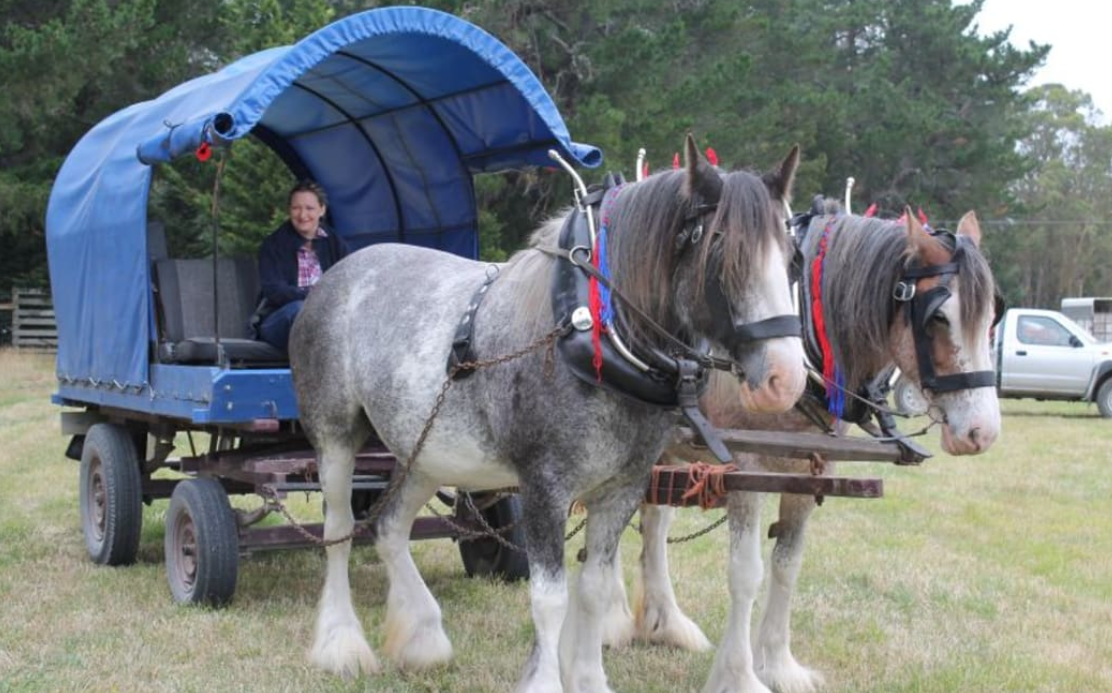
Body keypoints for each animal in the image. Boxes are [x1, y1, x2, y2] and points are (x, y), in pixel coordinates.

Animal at [291, 136, 805, 693]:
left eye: (793, 259)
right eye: (721, 251)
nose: (786, 379)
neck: (596, 332)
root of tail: (343, 271)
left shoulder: (623, 487)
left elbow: (595, 589)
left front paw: (590, 678)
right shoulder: (544, 486)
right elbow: (550, 598)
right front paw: (545, 679)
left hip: (425, 451)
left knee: (388, 527)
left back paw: (422, 637)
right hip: (335, 438)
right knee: (339, 530)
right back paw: (341, 643)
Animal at [604, 202, 1005, 693]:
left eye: (992, 317)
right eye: (938, 318)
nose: (982, 431)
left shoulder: (809, 466)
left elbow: (787, 564)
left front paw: (778, 664)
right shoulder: (745, 468)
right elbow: (746, 573)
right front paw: (738, 675)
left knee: (653, 521)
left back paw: (665, 621)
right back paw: (612, 620)